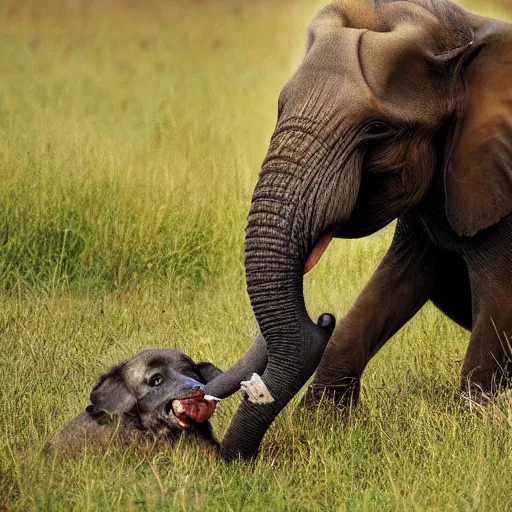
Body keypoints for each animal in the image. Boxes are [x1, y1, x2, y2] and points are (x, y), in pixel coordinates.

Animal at [207, 0, 512, 462]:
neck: (462, 32)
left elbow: (499, 299)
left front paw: (476, 426)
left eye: (377, 130)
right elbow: (395, 284)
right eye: (280, 108)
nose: (233, 459)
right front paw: (324, 422)